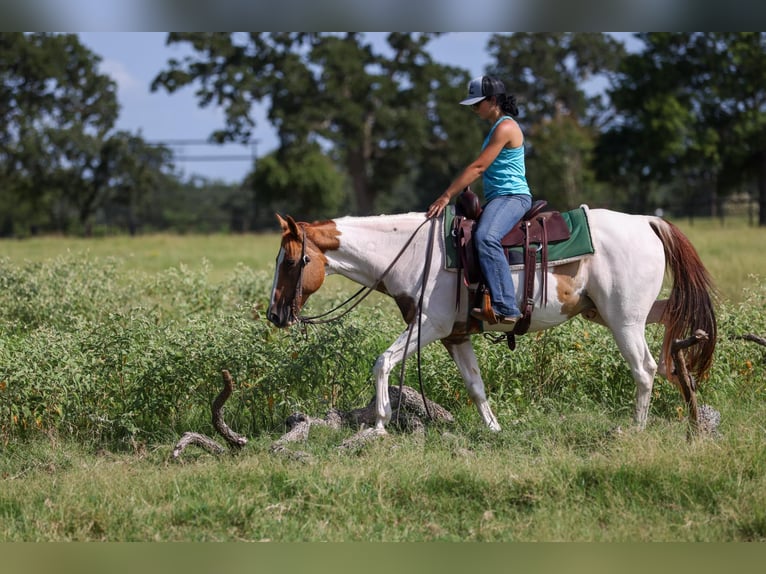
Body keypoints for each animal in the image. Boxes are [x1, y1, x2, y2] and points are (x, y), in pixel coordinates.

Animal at [267, 206, 717, 435]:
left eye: (290, 261)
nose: (274, 315)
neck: (410, 253)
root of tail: (645, 221)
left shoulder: (428, 325)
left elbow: (382, 362)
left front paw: (378, 423)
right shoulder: (454, 336)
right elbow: (476, 386)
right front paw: (494, 429)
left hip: (624, 318)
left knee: (644, 369)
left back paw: (637, 428)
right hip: (610, 313)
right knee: (675, 321)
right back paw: (687, 375)